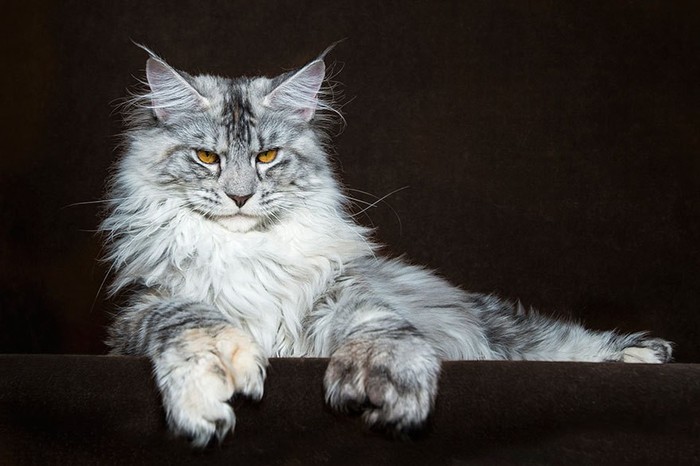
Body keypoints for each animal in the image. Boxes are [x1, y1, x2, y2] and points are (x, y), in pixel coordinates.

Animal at [102, 48, 672, 448]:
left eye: (267, 156)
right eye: (206, 157)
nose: (240, 197)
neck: (244, 252)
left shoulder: (340, 294)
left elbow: (378, 328)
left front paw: (380, 375)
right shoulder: (141, 310)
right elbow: (189, 323)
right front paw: (212, 378)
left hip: (506, 331)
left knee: (556, 344)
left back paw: (642, 356)